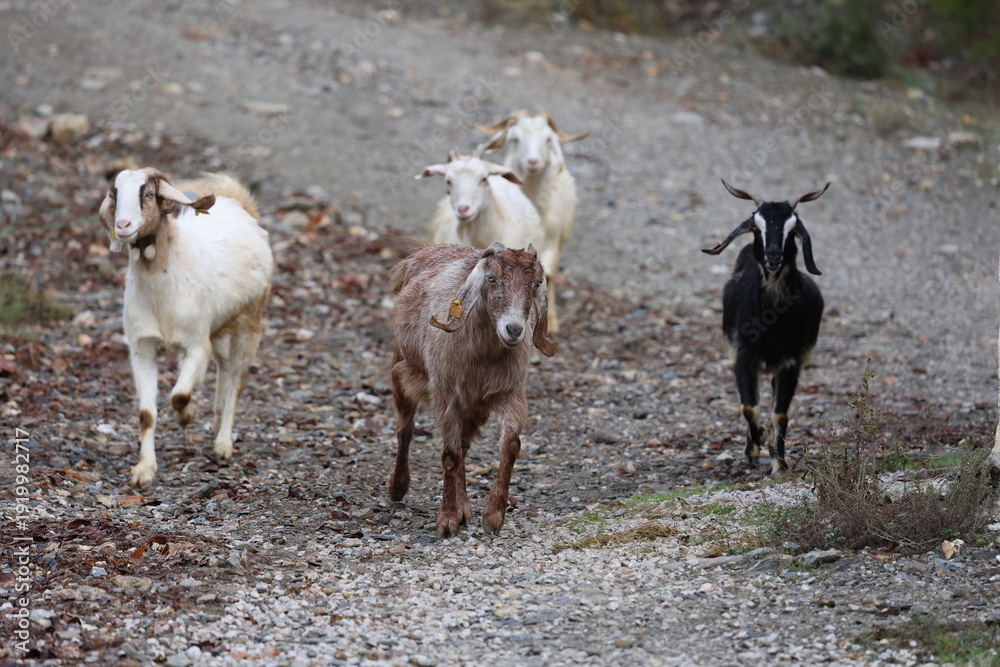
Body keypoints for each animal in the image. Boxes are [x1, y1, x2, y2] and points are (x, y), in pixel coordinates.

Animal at [98, 168, 273, 487]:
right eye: (114, 195)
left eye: (149, 193)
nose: (123, 225)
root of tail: (238, 203)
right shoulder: (142, 350)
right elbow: (146, 414)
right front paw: (144, 470)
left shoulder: (195, 345)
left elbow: (179, 395)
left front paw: (187, 416)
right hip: (219, 329)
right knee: (224, 369)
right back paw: (216, 423)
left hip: (250, 321)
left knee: (236, 379)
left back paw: (223, 443)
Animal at [388, 242, 557, 537]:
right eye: (492, 279)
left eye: (536, 283)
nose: (514, 330)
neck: (482, 358)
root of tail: (427, 251)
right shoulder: (446, 396)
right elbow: (449, 456)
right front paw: (446, 522)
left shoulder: (508, 393)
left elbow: (510, 445)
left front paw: (493, 516)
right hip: (402, 372)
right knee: (406, 429)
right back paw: (398, 487)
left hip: (474, 406)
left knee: (464, 446)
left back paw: (464, 506)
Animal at [474, 111, 589, 333]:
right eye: (516, 139)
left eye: (548, 139)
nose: (533, 162)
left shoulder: (552, 239)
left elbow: (548, 275)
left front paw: (551, 321)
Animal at [702, 179, 829, 474]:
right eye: (755, 226)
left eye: (793, 229)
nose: (773, 255)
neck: (772, 321)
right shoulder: (743, 358)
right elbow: (749, 408)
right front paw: (756, 442)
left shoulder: (791, 364)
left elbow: (780, 414)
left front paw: (779, 464)